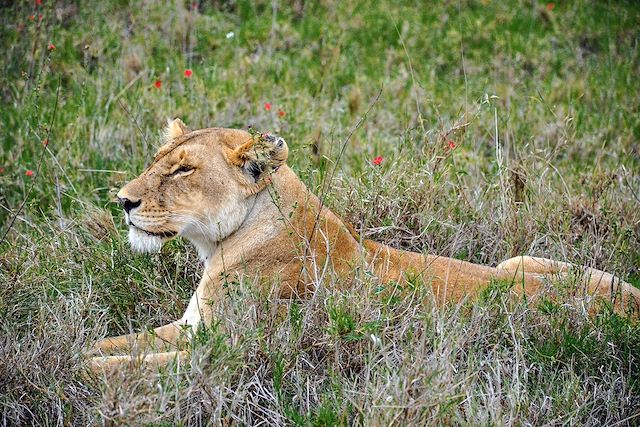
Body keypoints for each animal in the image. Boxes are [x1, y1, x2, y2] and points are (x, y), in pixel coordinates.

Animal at [87, 119, 640, 371]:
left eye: (183, 170)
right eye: (158, 160)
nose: (123, 201)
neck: (223, 246)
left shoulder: (226, 353)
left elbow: (123, 370)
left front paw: (81, 378)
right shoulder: (188, 328)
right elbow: (109, 345)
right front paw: (80, 352)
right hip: (523, 261)